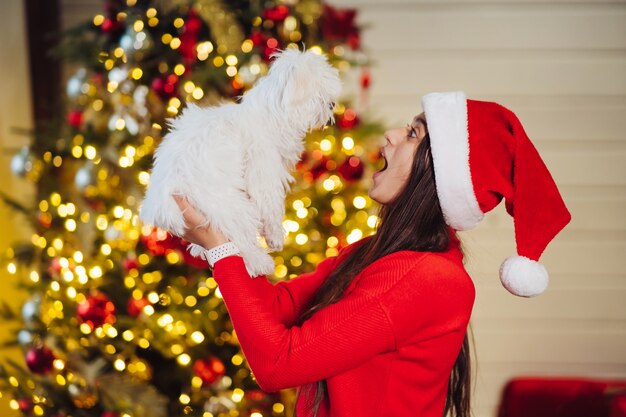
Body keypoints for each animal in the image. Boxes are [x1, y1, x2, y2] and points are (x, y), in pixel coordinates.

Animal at [138, 48, 338, 276]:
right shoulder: (263, 170)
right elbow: (270, 206)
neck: (270, 114)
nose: (333, 104)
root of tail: (160, 201)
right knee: (241, 238)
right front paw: (275, 236)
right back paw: (260, 262)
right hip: (230, 205)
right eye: (320, 90)